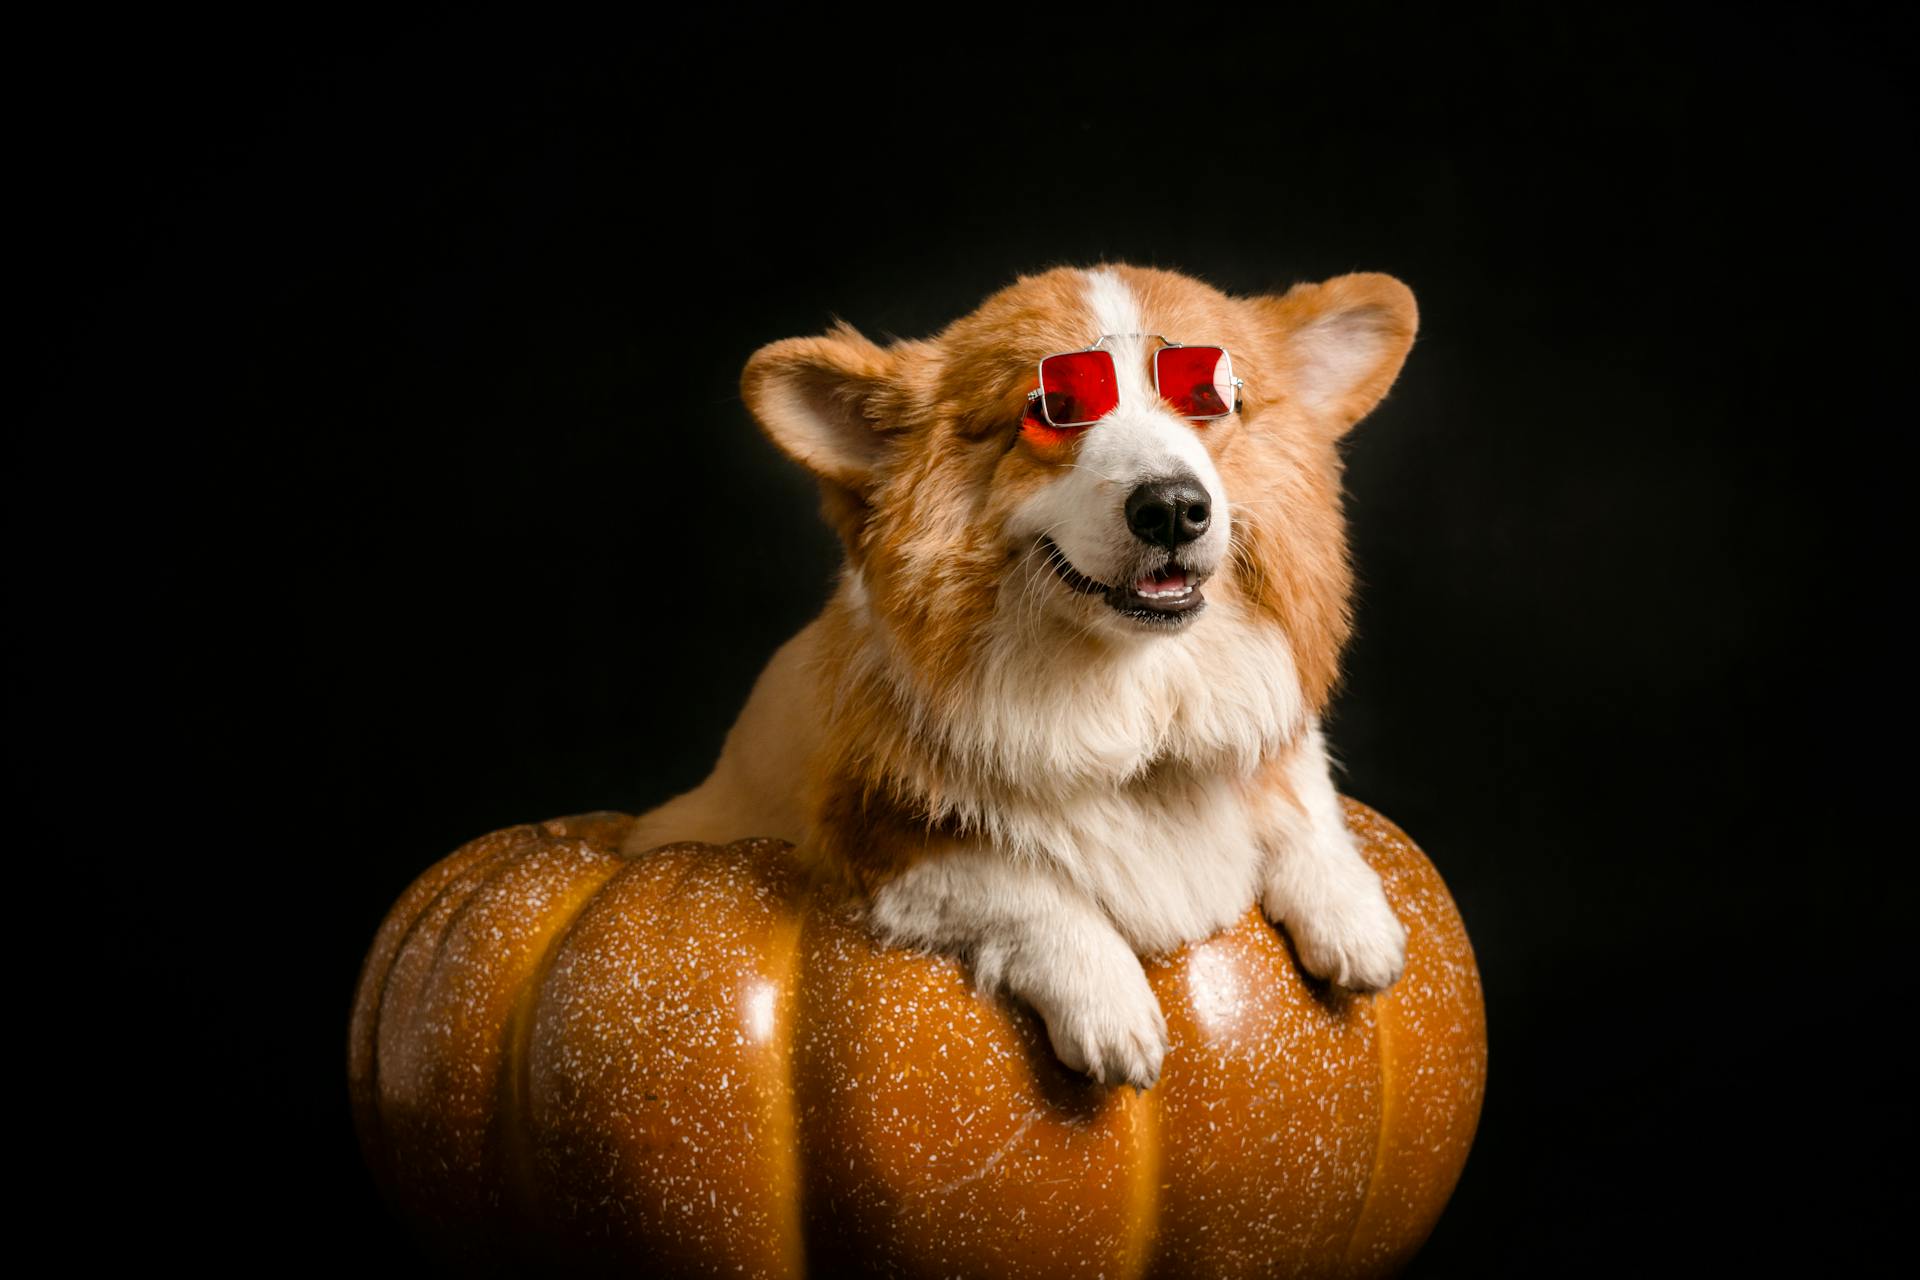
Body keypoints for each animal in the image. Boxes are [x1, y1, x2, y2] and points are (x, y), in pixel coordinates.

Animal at [622, 262, 1420, 1090]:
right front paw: (1111, 1010)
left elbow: (1302, 786)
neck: (1131, 698)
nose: (1172, 507)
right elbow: (1023, 887)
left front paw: (1354, 915)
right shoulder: (879, 841)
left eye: (1213, 398)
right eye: (1051, 412)